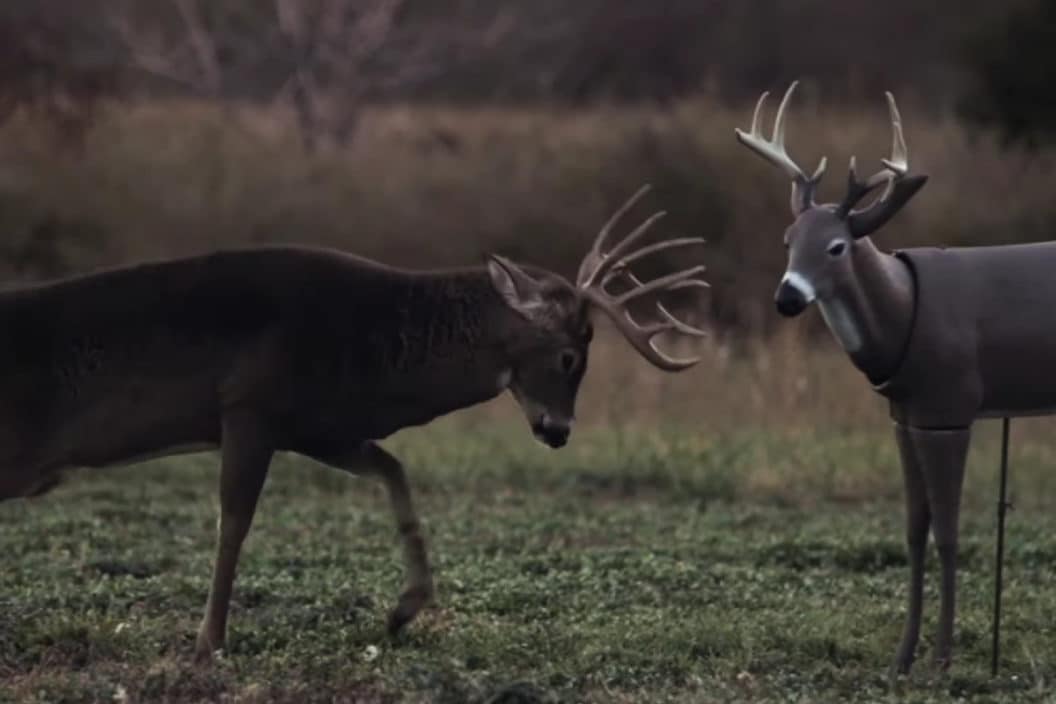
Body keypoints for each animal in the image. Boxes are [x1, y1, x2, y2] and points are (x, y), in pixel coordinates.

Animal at [0, 186, 709, 662]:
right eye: (568, 354)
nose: (557, 430)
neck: (374, 341)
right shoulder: (250, 403)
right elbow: (234, 522)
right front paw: (208, 642)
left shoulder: (318, 425)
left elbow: (394, 471)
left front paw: (402, 612)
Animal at [739, 79, 1056, 675]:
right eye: (788, 238)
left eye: (837, 246)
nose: (787, 298)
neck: (903, 307)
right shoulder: (905, 416)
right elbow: (913, 532)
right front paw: (901, 660)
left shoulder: (950, 408)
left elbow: (949, 535)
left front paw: (943, 661)